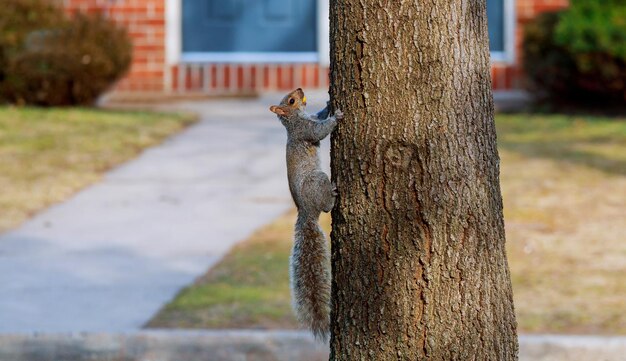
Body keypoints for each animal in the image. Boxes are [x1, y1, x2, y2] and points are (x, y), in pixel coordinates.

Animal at [266, 87, 342, 340]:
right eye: (290, 100)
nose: (299, 89)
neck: (294, 119)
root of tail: (306, 211)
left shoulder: (310, 119)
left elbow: (318, 117)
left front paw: (327, 105)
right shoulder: (305, 131)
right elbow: (319, 130)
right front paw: (336, 116)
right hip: (316, 181)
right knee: (326, 206)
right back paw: (333, 194)